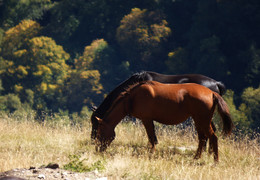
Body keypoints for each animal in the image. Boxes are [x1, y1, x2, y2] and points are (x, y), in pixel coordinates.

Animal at [95, 81, 234, 161]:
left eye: (100, 133)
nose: (98, 150)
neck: (133, 98)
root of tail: (212, 93)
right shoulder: (148, 120)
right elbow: (152, 138)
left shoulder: (146, 119)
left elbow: (152, 138)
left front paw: (151, 154)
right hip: (200, 121)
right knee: (203, 138)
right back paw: (196, 157)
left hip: (202, 121)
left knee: (212, 137)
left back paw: (215, 161)